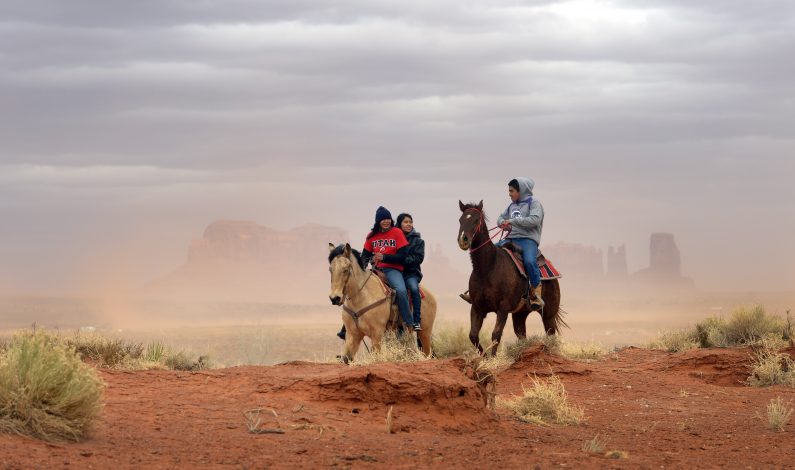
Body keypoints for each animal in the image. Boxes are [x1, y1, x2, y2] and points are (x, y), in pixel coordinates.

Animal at [454, 199, 564, 356]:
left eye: (476, 220)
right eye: (461, 220)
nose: (463, 240)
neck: (488, 268)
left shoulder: (503, 308)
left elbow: (496, 335)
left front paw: (492, 357)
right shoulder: (477, 307)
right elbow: (473, 335)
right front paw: (484, 356)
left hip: (548, 313)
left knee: (551, 333)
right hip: (520, 315)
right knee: (522, 335)